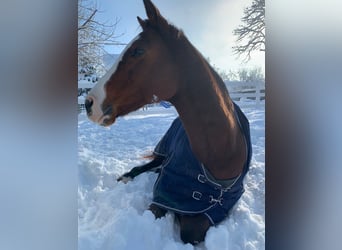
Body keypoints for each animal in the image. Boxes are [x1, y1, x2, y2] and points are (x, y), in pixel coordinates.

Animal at [85, 0, 251, 245]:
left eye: (138, 51)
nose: (89, 103)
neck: (222, 153)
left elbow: (193, 230)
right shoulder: (164, 194)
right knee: (147, 166)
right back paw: (126, 176)